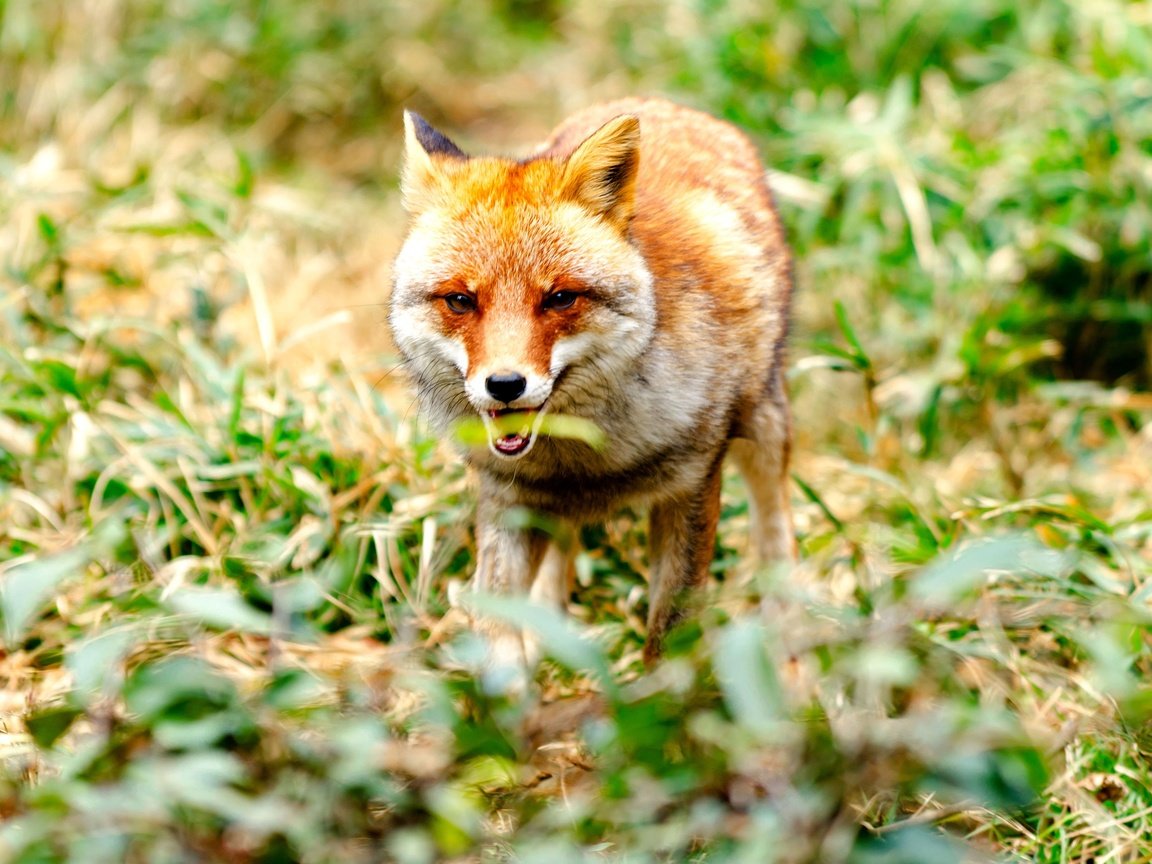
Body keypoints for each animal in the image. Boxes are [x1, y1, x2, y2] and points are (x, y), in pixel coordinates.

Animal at [387, 97, 792, 672]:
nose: (504, 384)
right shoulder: (506, 499)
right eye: (460, 301)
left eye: (560, 298)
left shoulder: (692, 486)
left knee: (777, 530)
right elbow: (496, 628)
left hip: (765, 428)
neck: (583, 464)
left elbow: (668, 636)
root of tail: (658, 101)